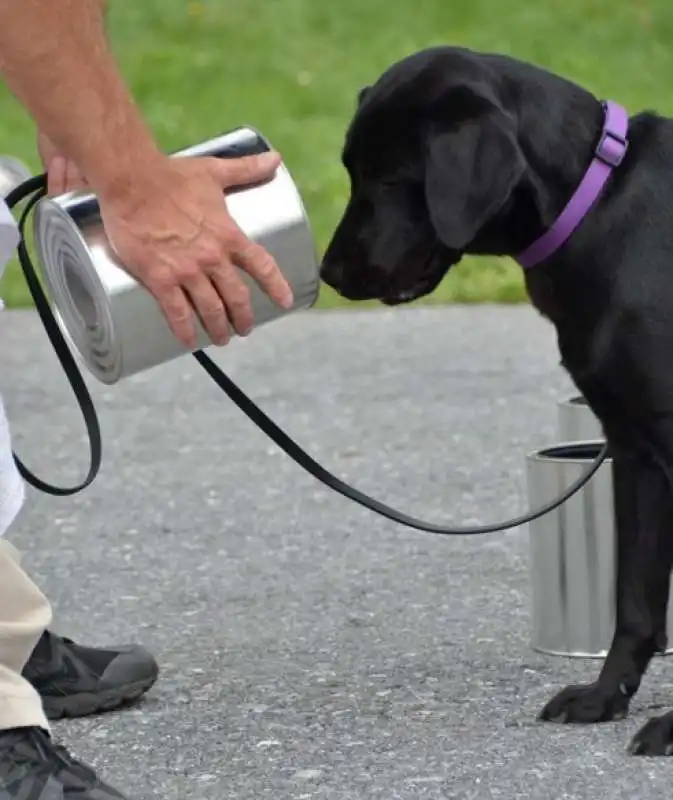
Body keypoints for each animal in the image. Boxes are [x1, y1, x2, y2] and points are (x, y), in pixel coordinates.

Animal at [318, 45, 672, 756]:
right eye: (351, 171)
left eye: (392, 179)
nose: (328, 274)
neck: (597, 203)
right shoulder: (635, 452)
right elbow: (634, 601)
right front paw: (603, 696)